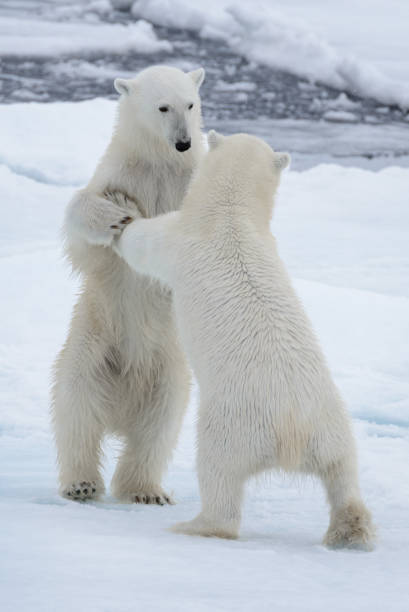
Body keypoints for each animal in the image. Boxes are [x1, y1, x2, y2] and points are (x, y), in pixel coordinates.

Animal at [51, 65, 204, 502]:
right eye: (163, 106)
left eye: (191, 103)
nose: (184, 143)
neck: (160, 163)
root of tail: (121, 407)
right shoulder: (118, 173)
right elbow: (86, 237)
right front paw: (116, 214)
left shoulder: (187, 180)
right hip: (93, 344)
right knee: (76, 408)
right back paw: (82, 484)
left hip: (169, 366)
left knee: (160, 424)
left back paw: (146, 490)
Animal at [113, 130, 374, 548]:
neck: (231, 214)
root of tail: (292, 428)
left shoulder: (179, 237)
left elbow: (145, 245)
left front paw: (122, 220)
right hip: (332, 422)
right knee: (343, 472)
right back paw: (350, 528)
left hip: (234, 424)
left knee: (218, 474)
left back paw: (195, 524)